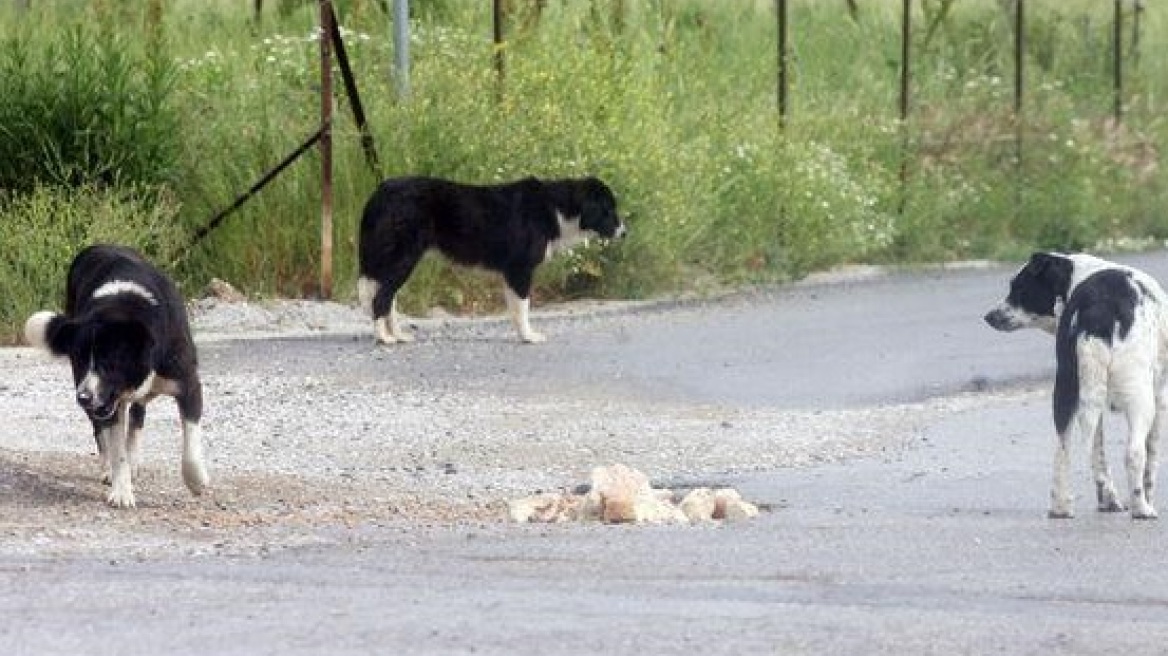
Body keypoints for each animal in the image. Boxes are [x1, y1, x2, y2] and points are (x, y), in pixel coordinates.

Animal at [23, 243, 209, 506]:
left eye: (108, 363)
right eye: (80, 361)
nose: (83, 398)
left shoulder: (188, 384)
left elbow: (191, 440)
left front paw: (195, 481)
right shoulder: (106, 401)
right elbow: (116, 448)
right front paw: (121, 490)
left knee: (137, 417)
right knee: (103, 432)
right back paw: (109, 469)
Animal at [357, 176, 626, 345]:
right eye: (608, 210)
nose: (625, 233)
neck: (557, 208)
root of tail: (381, 191)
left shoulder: (511, 273)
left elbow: (516, 310)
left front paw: (522, 335)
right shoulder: (520, 270)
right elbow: (523, 308)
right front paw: (529, 337)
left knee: (386, 299)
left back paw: (398, 335)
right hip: (403, 258)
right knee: (381, 299)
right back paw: (384, 338)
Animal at [985, 253, 1168, 518]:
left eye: (1018, 288)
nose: (989, 316)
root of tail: (1098, 306)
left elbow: (1098, 454)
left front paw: (1107, 500)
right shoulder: (1160, 398)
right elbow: (1151, 459)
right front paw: (1147, 498)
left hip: (1067, 391)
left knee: (1064, 450)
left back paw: (1062, 506)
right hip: (1139, 398)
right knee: (1133, 453)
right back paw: (1142, 508)